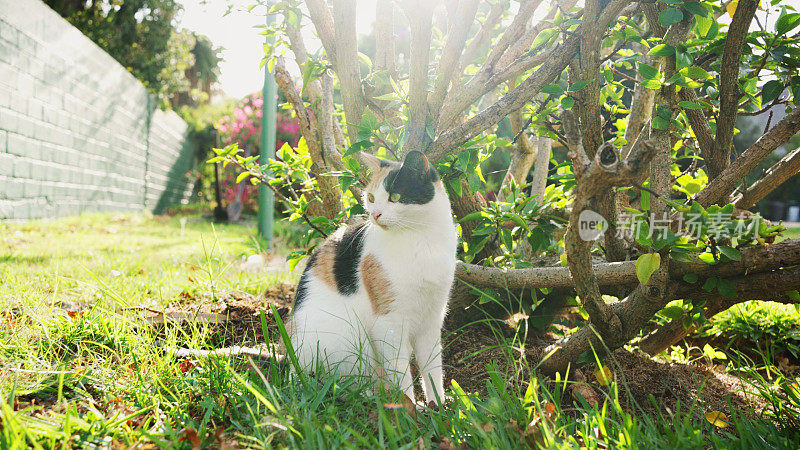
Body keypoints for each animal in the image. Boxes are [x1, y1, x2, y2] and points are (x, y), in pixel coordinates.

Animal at [290, 149, 460, 402]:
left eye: (395, 196)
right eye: (370, 197)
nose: (375, 214)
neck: (421, 239)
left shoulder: (431, 318)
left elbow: (432, 368)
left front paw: (438, 405)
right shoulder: (389, 322)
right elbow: (400, 372)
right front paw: (410, 406)